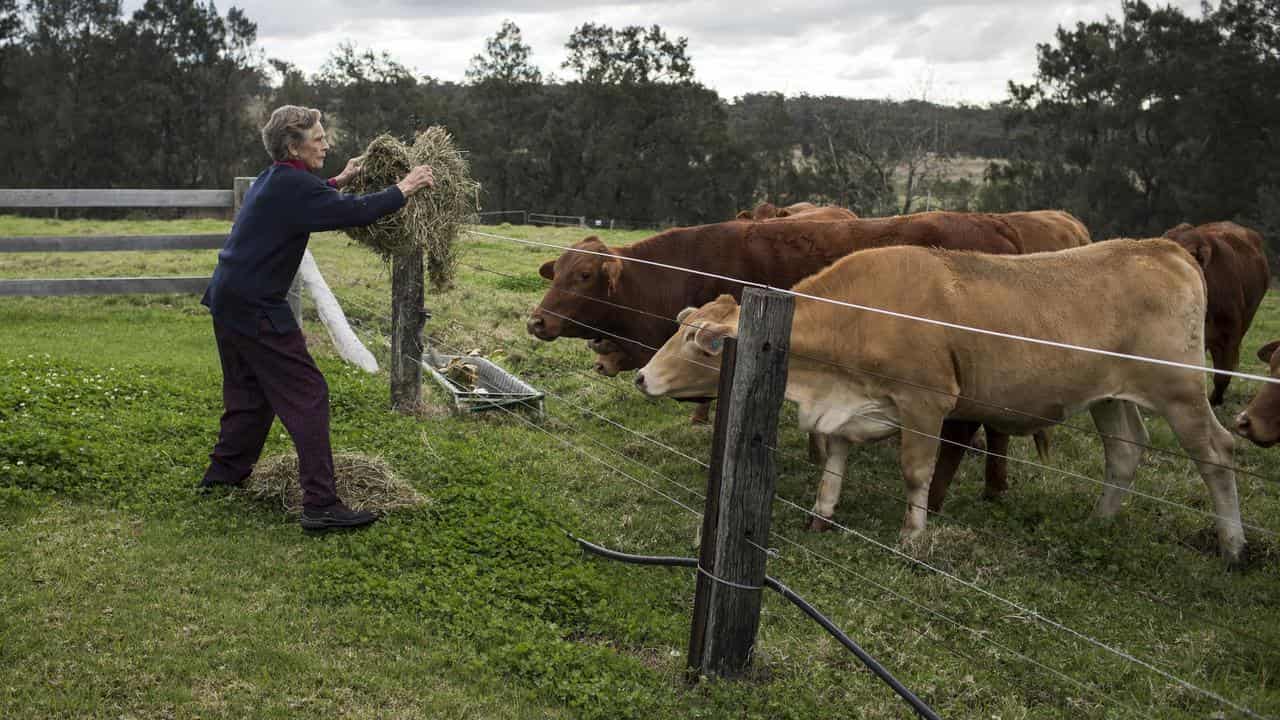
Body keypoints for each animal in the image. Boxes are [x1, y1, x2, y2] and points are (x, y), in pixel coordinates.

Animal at [524, 211, 1034, 504]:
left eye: (583, 275)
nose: (537, 322)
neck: (678, 272)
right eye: (558, 271)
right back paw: (994, 487)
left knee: (970, 433)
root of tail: (996, 224)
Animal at [634, 238, 1244, 563]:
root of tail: (1162, 248)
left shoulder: (924, 404)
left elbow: (915, 472)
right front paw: (822, 515)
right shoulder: (843, 408)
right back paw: (1100, 521)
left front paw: (913, 534)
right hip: (1110, 396)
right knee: (1124, 451)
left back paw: (1234, 546)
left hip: (1181, 392)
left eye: (700, 342)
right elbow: (833, 462)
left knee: (1217, 455)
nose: (641, 377)